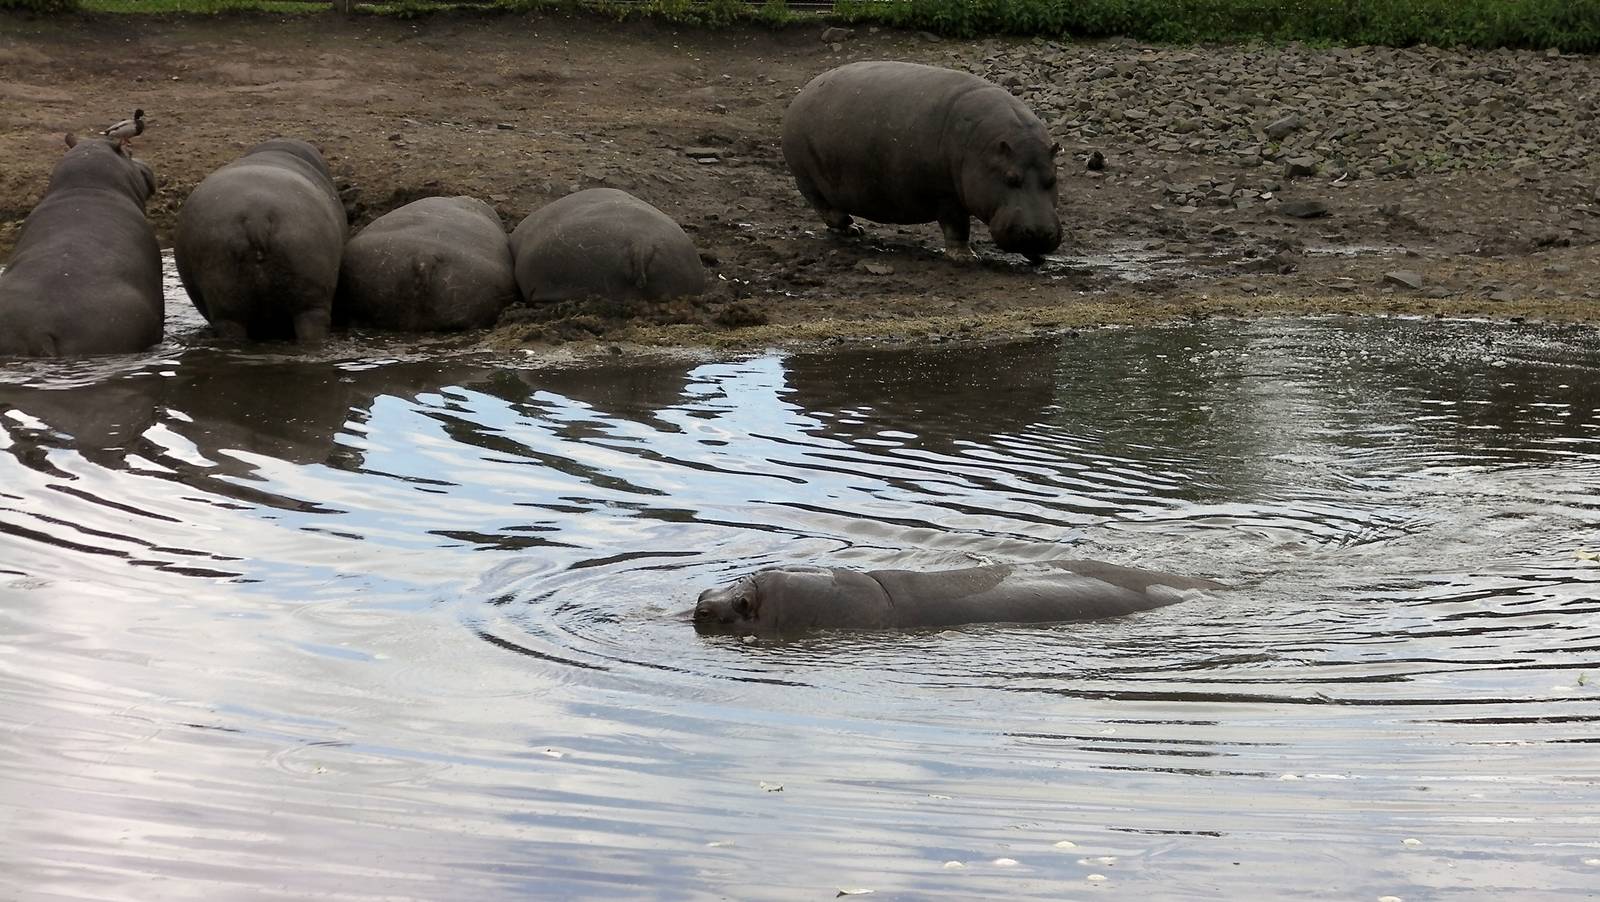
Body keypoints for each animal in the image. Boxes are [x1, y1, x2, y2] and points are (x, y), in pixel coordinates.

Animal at [782, 60, 1063, 264]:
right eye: (1010, 178)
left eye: (1053, 179)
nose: (1039, 234)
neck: (986, 150)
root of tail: (804, 91)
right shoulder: (947, 195)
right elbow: (957, 226)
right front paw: (966, 258)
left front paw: (1037, 256)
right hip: (806, 176)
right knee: (823, 205)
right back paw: (851, 226)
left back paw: (853, 230)